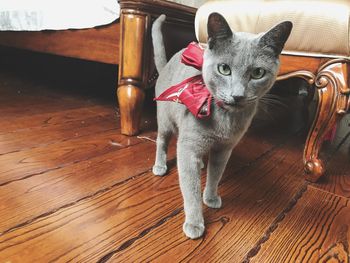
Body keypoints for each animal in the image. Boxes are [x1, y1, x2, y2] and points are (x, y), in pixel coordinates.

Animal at [152, 12, 292, 240]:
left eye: (258, 73)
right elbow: (190, 188)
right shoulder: (189, 147)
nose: (237, 95)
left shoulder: (225, 148)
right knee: (161, 141)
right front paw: (195, 223)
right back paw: (160, 165)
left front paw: (210, 197)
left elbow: (215, 175)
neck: (225, 121)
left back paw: (201, 165)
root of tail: (166, 64)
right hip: (165, 119)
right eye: (224, 69)